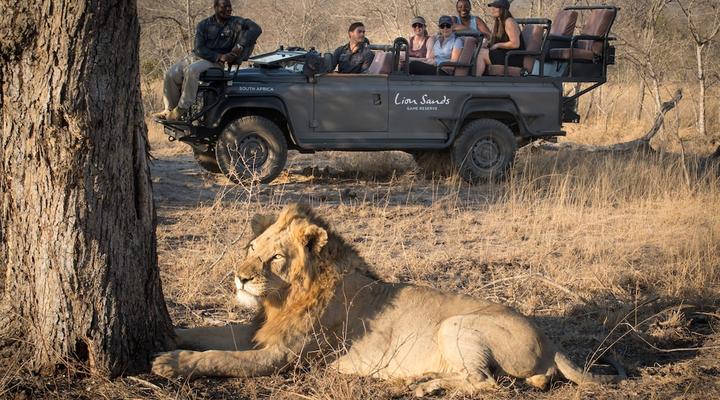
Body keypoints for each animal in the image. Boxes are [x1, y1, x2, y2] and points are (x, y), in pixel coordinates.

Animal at [152, 203, 624, 396]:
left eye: (275, 258)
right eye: (251, 247)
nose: (240, 278)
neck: (283, 299)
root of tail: (552, 342)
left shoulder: (281, 357)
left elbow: (219, 357)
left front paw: (170, 362)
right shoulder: (259, 332)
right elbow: (212, 334)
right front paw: (174, 336)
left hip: (457, 324)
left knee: (488, 383)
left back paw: (427, 386)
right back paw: (427, 379)